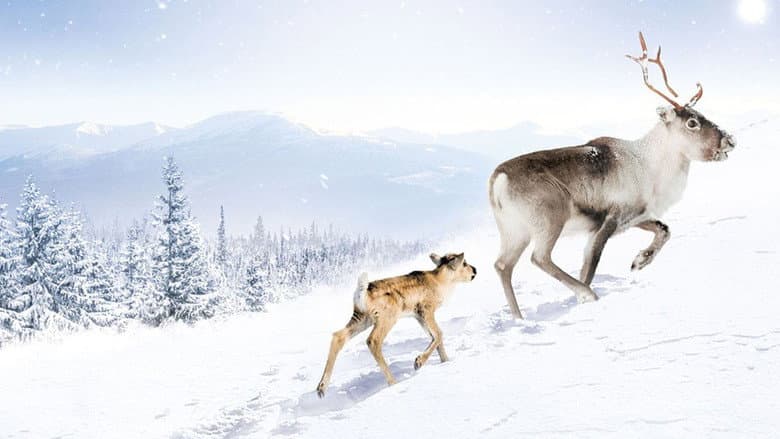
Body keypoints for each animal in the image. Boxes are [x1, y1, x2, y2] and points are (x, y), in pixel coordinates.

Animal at [316, 252, 477, 398]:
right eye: (464, 263)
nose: (475, 270)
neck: (441, 282)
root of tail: (362, 292)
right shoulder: (426, 309)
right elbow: (439, 334)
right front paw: (418, 362)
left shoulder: (418, 315)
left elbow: (435, 337)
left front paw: (445, 361)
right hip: (387, 317)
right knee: (373, 340)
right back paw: (392, 382)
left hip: (361, 318)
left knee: (338, 336)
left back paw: (321, 388)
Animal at [489, 32, 736, 319]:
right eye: (692, 122)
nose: (730, 140)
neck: (651, 168)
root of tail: (498, 181)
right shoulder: (609, 218)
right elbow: (590, 264)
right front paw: (585, 297)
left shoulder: (636, 216)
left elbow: (665, 230)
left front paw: (639, 261)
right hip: (549, 220)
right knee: (539, 258)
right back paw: (586, 294)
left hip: (514, 231)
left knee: (503, 265)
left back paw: (519, 318)